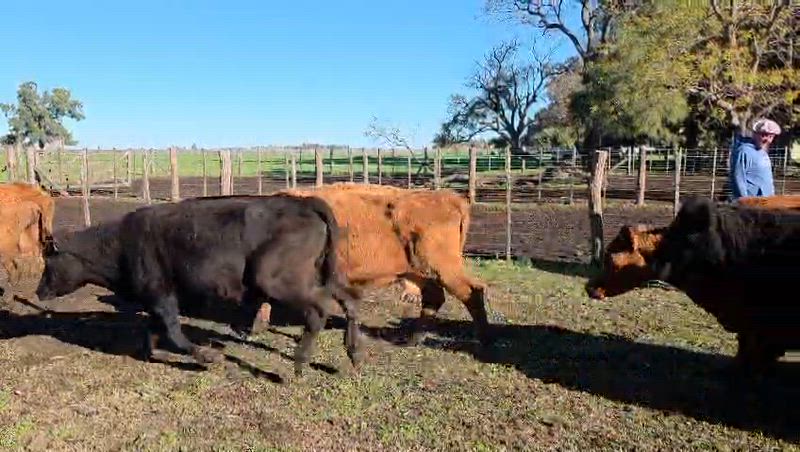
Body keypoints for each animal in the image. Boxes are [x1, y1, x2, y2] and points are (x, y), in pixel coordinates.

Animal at [35, 194, 365, 377]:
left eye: (48, 263)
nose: (39, 292)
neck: (121, 243)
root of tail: (305, 202)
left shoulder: (162, 295)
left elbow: (174, 333)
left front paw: (208, 356)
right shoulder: (154, 300)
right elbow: (152, 334)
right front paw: (154, 355)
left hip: (277, 279)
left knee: (319, 310)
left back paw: (300, 363)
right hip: (322, 275)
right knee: (350, 300)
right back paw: (355, 354)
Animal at [271, 183, 492, 347]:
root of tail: (450, 199)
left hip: (443, 270)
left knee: (472, 292)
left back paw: (483, 339)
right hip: (420, 272)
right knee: (434, 298)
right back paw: (411, 340)